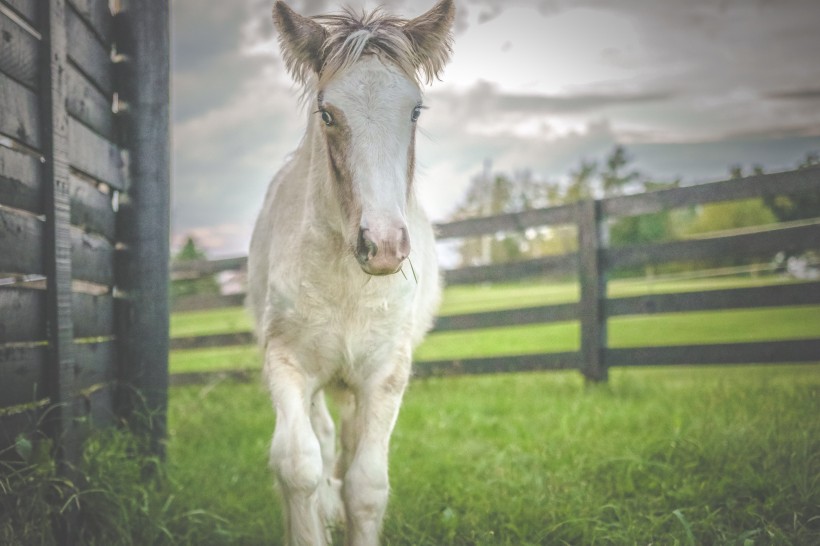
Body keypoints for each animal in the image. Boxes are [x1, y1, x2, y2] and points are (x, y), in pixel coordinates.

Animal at [247, 2, 454, 540]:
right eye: (327, 113)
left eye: (415, 110)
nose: (382, 246)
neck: (347, 284)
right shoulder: (288, 364)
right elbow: (298, 464)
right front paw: (313, 516)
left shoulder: (385, 375)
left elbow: (366, 484)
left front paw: (349, 507)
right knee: (321, 437)